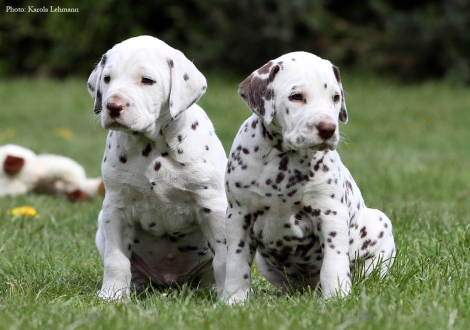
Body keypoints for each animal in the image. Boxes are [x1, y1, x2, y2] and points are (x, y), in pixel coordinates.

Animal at [88, 35, 229, 300]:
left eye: (147, 80)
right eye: (107, 78)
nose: (113, 106)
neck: (153, 148)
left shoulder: (214, 208)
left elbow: (225, 260)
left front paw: (232, 295)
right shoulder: (116, 208)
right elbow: (115, 259)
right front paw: (112, 295)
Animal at [222, 51, 394, 304]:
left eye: (335, 97)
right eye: (296, 97)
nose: (328, 128)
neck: (284, 162)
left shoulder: (330, 214)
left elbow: (334, 263)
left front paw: (337, 298)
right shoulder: (239, 216)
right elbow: (236, 262)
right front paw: (234, 299)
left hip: (380, 227)